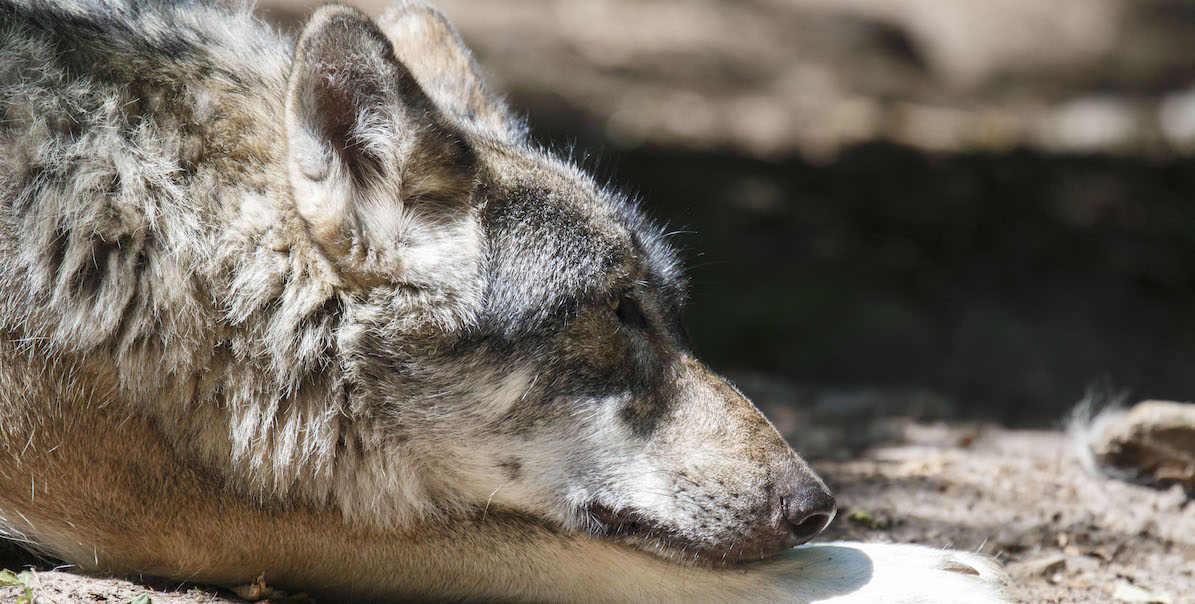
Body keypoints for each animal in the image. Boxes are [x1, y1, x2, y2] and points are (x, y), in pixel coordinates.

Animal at [0, 1, 1013, 598]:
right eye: (616, 312)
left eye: (670, 314)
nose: (817, 508)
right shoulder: (183, 510)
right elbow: (572, 551)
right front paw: (899, 569)